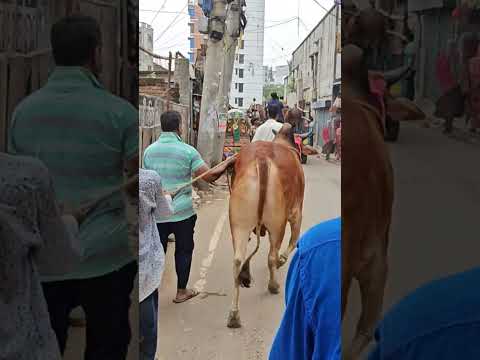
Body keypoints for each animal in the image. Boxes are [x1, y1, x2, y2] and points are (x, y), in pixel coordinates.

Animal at [225, 124, 304, 330]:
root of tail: (261, 158)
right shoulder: (296, 212)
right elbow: (294, 241)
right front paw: (282, 261)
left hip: (239, 224)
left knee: (237, 261)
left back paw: (234, 316)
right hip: (278, 224)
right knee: (271, 256)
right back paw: (273, 285)